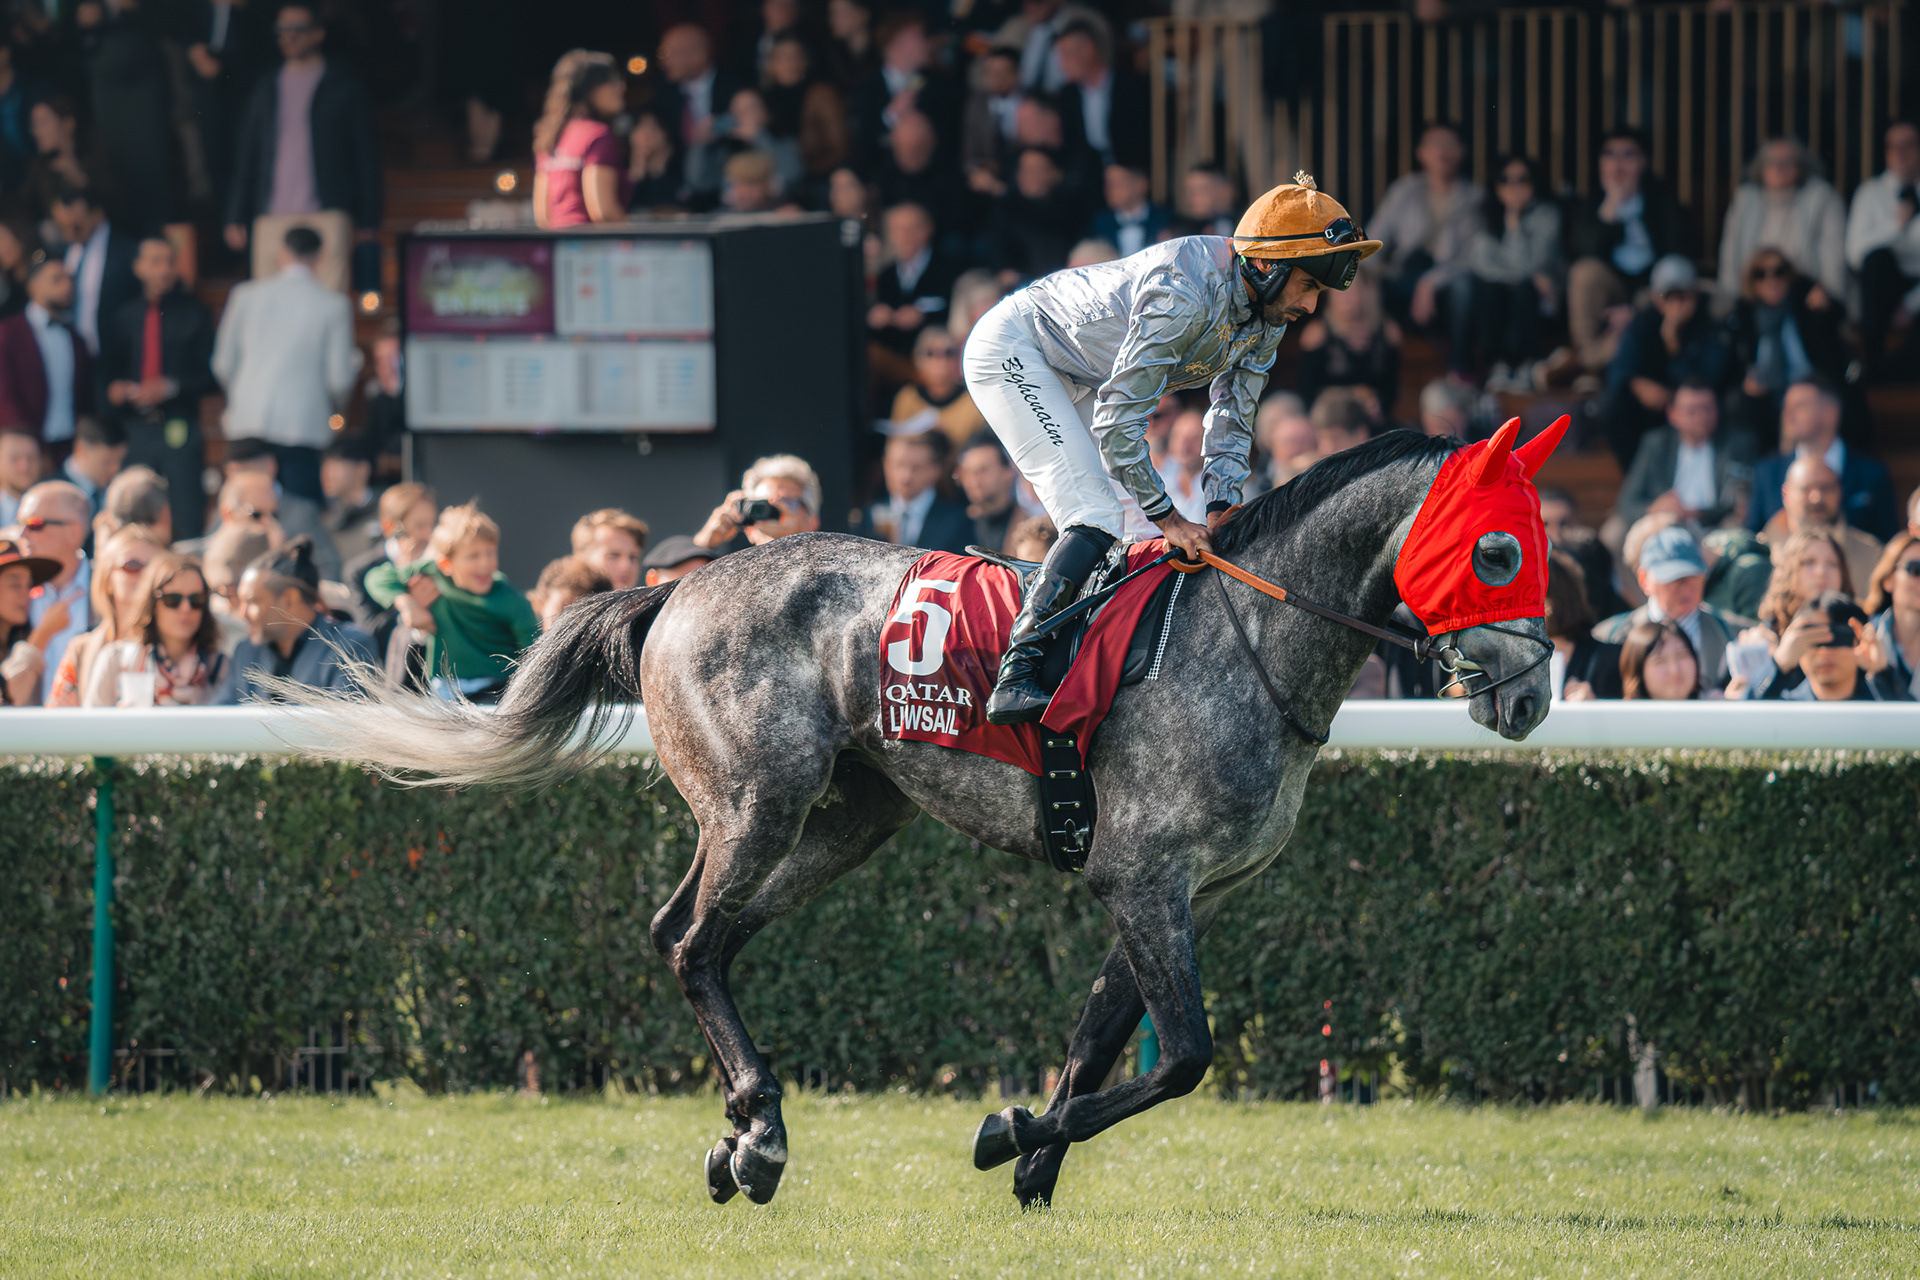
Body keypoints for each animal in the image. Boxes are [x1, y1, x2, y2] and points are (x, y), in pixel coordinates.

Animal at [283, 424, 1560, 1208]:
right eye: (1499, 548)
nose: (1534, 694)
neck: (1243, 643)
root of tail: (675, 587)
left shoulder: (1171, 884)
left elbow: (1103, 1032)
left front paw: (1034, 1154)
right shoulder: (1145, 873)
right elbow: (1187, 1051)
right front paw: (1009, 1134)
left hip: (854, 815)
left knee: (700, 936)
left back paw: (738, 1131)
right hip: (758, 796)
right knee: (689, 936)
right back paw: (762, 1131)